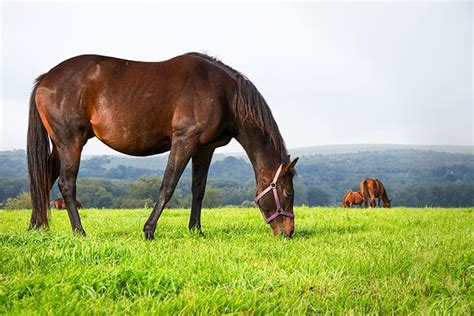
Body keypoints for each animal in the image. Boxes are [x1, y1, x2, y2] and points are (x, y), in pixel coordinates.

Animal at [26, 52, 296, 239]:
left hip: (60, 146)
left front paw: (196, 230)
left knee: (44, 179)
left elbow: (199, 189)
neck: (223, 93)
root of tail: (45, 78)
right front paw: (149, 230)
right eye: (288, 194)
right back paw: (79, 231)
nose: (289, 232)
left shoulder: (204, 148)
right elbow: (168, 186)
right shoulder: (184, 140)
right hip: (71, 142)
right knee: (66, 184)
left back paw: (36, 225)